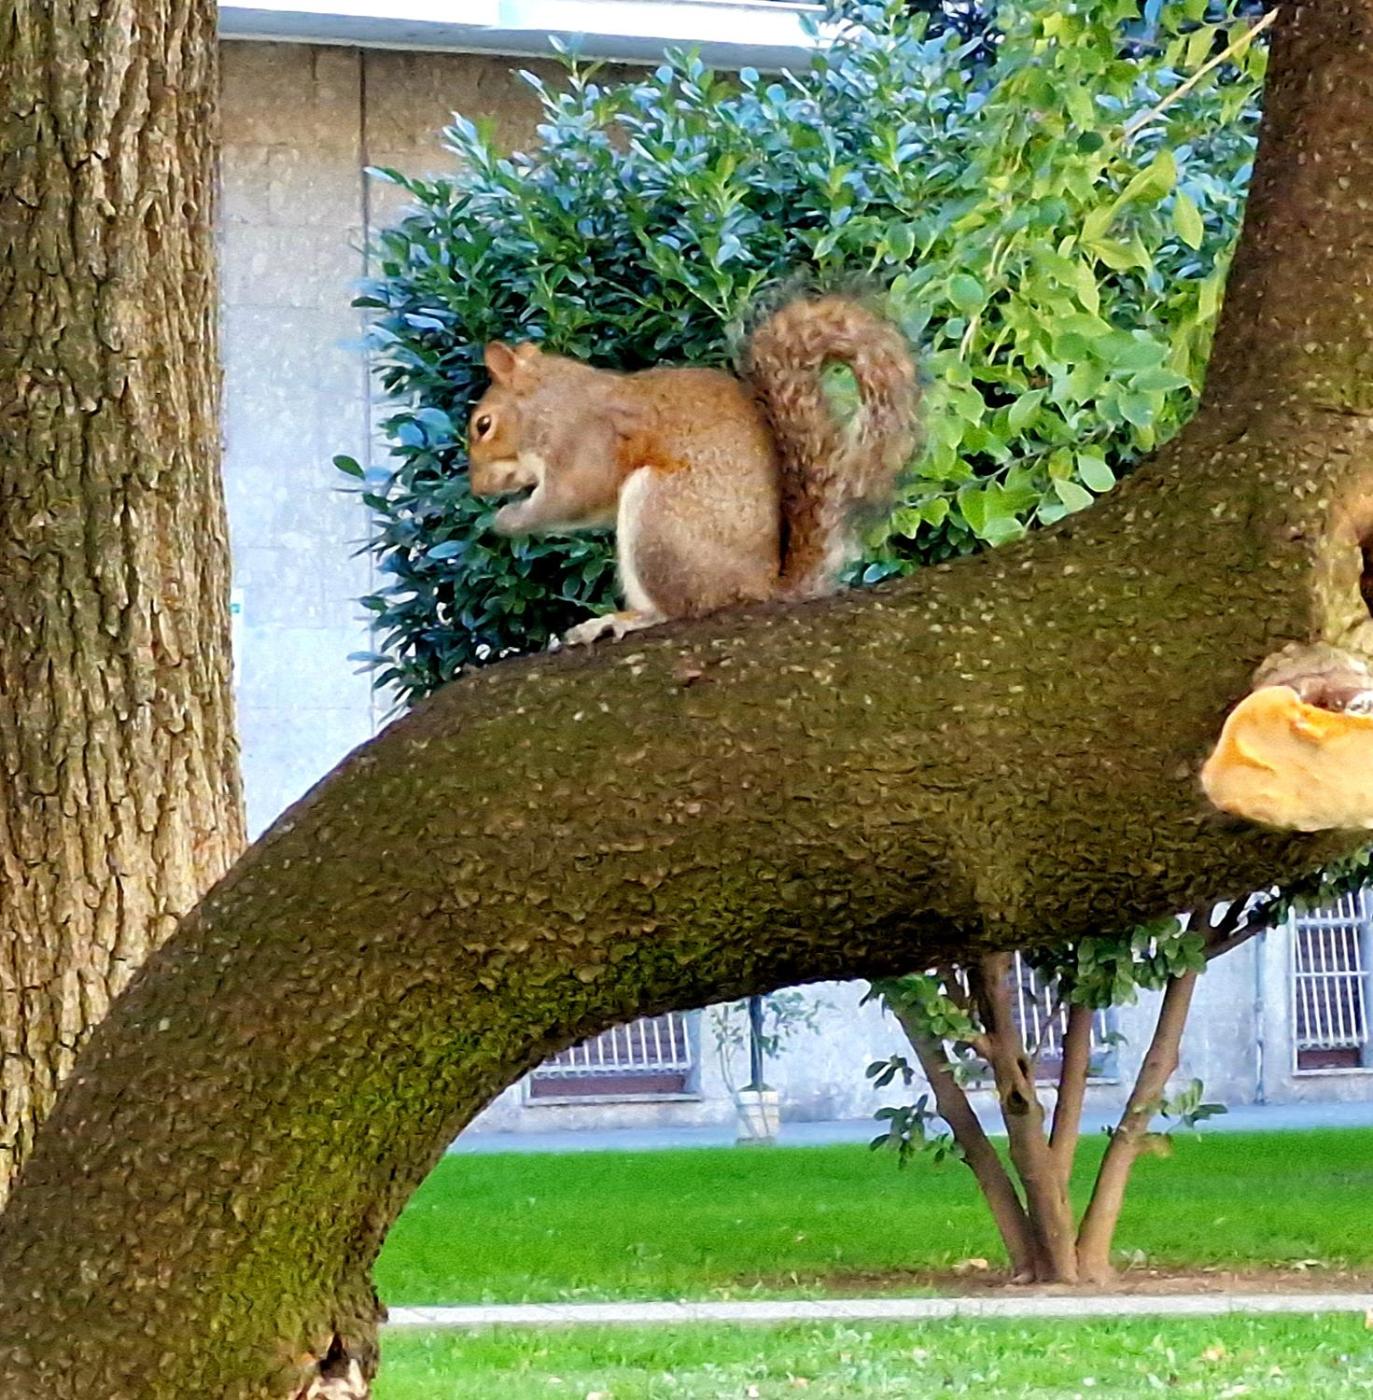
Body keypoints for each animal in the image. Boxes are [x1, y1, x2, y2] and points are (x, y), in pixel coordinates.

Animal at [466, 292, 919, 647]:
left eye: (483, 425)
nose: (477, 489)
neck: (550, 405)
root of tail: (760, 587)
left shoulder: (585, 443)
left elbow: (571, 497)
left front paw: (507, 520)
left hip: (660, 521)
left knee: (680, 608)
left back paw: (621, 620)